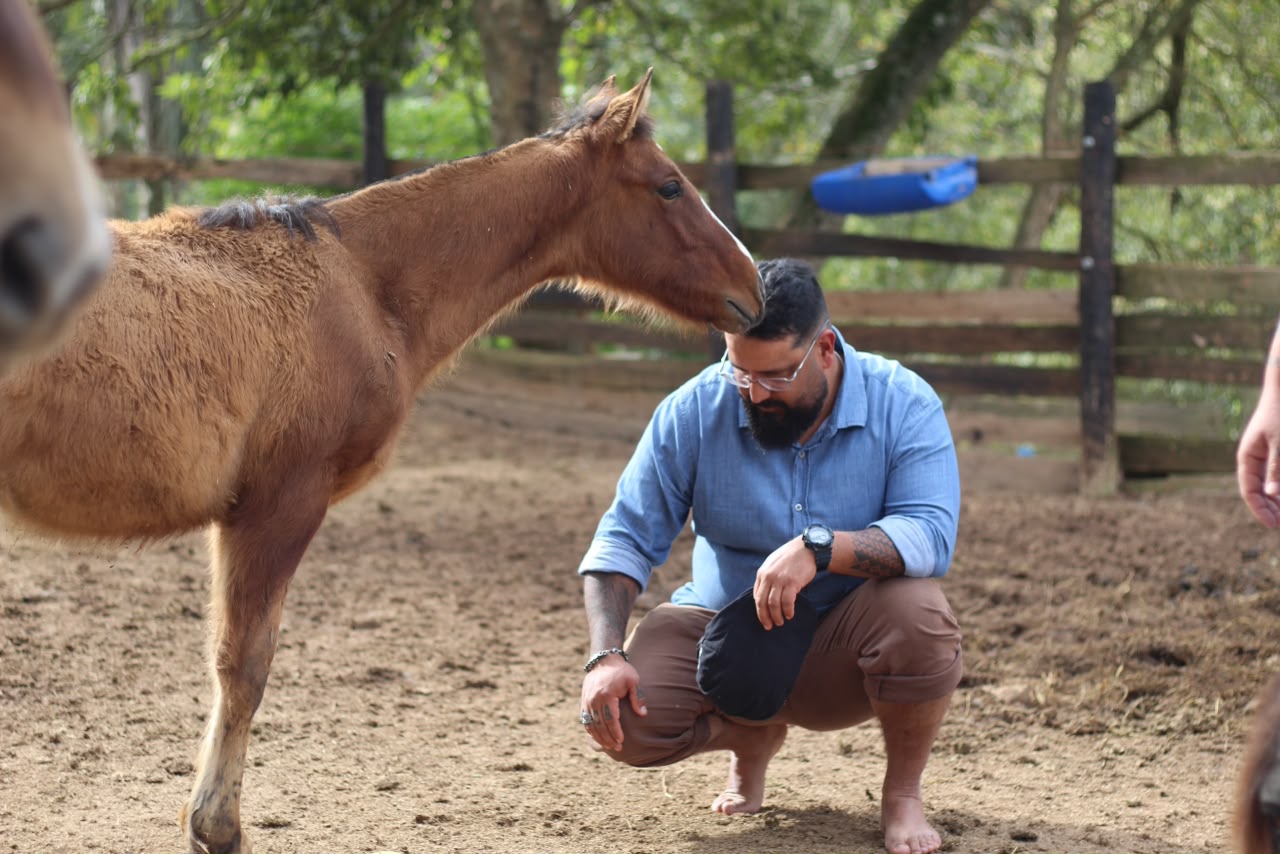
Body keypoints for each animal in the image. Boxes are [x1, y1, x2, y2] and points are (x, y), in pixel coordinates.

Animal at [0, 70, 761, 854]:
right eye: (669, 186)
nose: (756, 285)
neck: (364, 283)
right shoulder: (278, 507)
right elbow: (242, 666)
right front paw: (217, 825)